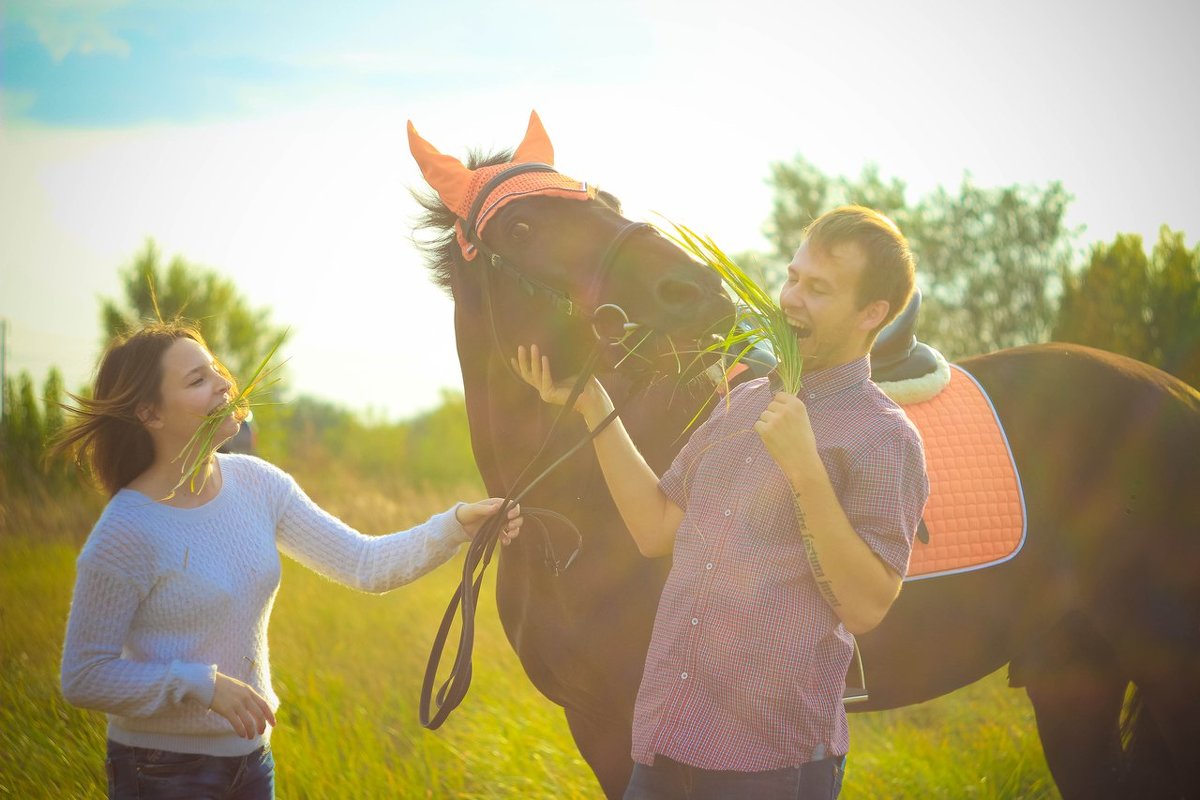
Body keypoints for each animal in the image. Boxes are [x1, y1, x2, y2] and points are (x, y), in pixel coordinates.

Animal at [408, 113, 1195, 800]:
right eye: (521, 226)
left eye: (605, 201)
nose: (698, 290)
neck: (571, 508)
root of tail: (1176, 394)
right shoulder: (596, 724)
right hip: (1074, 675)